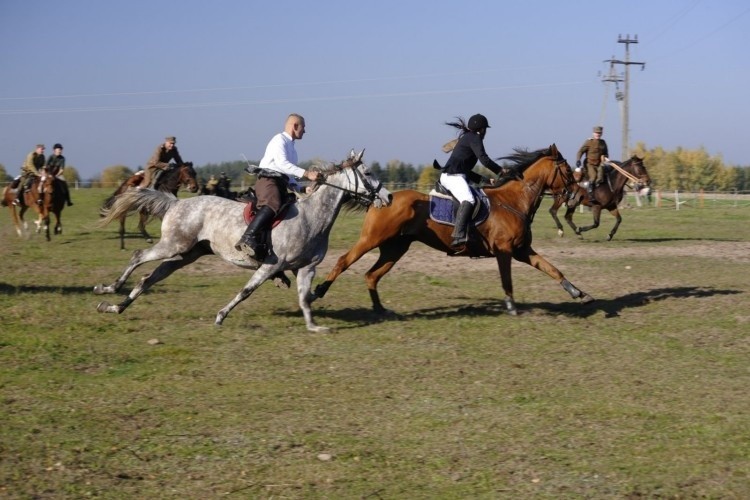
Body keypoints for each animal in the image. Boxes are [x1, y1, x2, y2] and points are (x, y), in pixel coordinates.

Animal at [94, 150, 394, 334]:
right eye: (368, 173)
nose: (388, 197)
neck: (312, 217)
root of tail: (176, 203)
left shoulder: (306, 268)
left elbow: (304, 299)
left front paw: (314, 327)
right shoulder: (271, 266)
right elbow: (246, 291)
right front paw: (220, 316)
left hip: (184, 255)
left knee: (148, 279)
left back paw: (115, 307)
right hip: (173, 246)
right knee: (137, 257)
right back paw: (108, 289)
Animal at [314, 145, 596, 316]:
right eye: (568, 170)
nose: (578, 195)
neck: (514, 200)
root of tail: (381, 199)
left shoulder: (521, 250)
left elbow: (552, 269)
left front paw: (578, 293)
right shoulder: (505, 251)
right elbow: (507, 281)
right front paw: (511, 307)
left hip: (396, 247)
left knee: (372, 276)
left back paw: (381, 310)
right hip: (371, 239)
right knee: (344, 260)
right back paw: (319, 291)